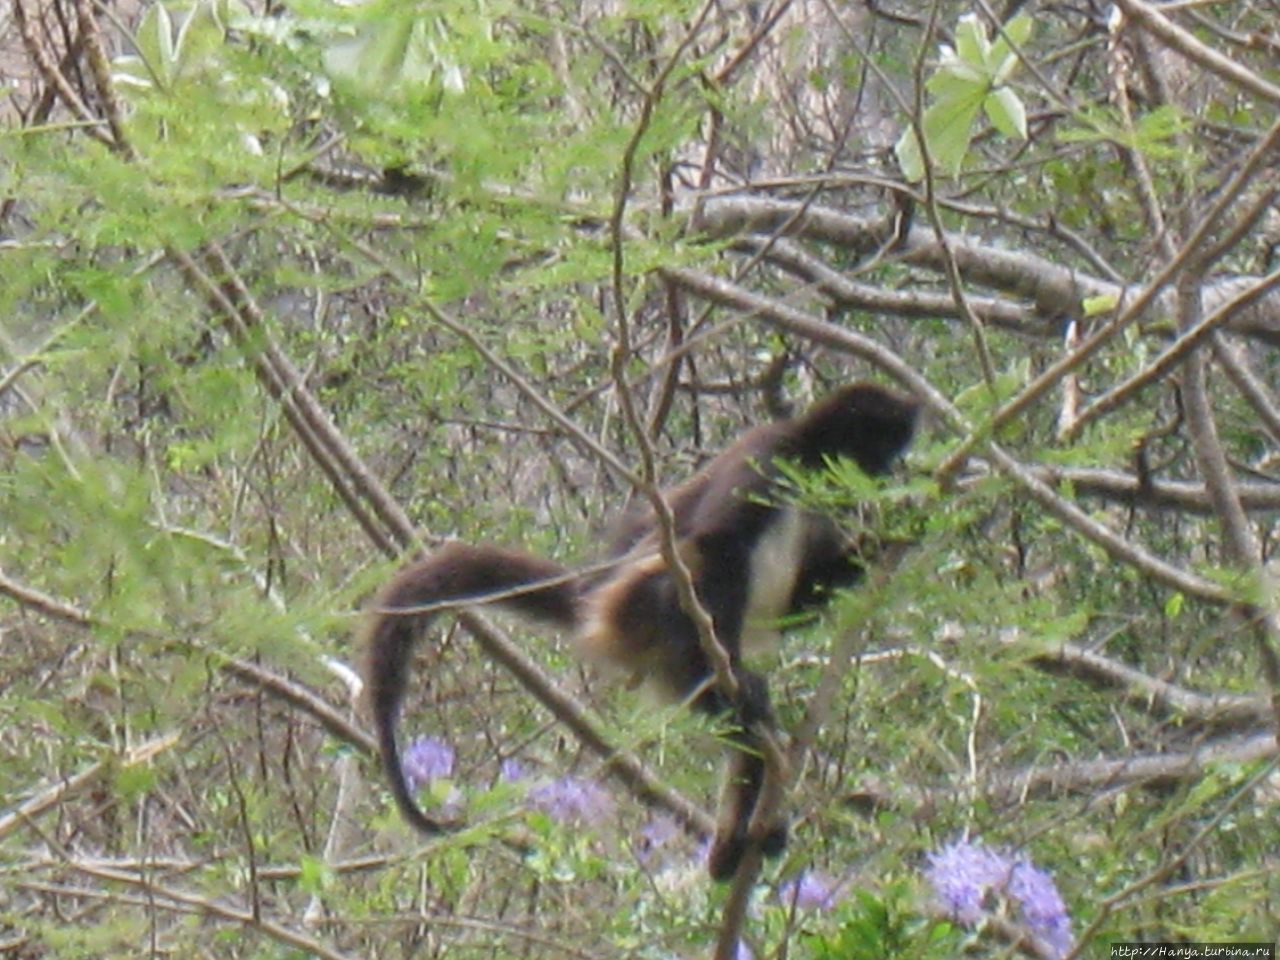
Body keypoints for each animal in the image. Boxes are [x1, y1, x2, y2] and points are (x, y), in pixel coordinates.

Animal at [363, 381, 921, 880]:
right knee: (689, 572)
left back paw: (736, 838)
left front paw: (903, 527)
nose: (886, 476)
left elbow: (800, 603)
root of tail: (593, 595)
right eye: (878, 451)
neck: (808, 461)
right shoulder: (769, 453)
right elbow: (716, 543)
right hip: (639, 608)